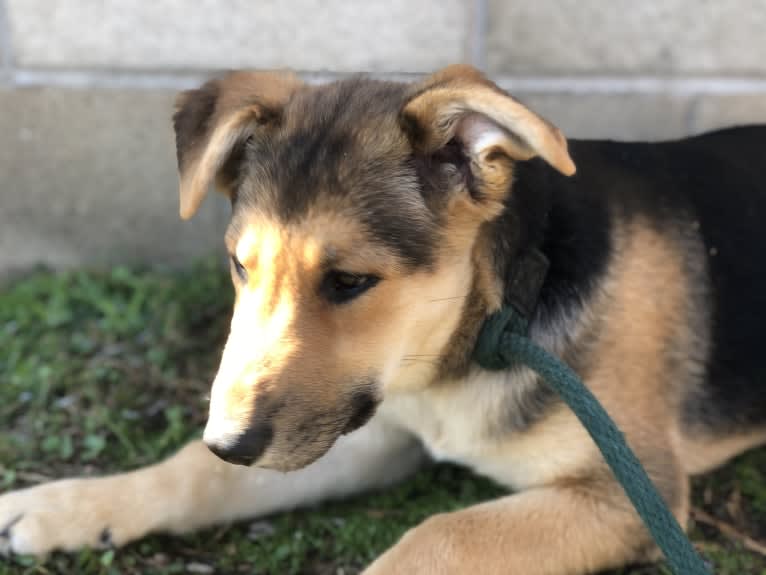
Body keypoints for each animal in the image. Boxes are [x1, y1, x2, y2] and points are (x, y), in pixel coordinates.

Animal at [1, 65, 766, 572]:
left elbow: (438, 535)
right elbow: (196, 474)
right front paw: (65, 506)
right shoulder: (360, 427)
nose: (229, 439)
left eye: (350, 281)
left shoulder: (629, 491)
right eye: (240, 266)